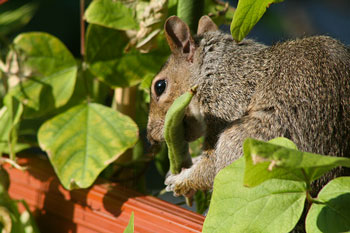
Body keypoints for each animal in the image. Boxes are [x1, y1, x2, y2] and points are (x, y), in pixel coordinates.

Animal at [147, 15, 350, 198]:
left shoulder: (227, 100)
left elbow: (211, 166)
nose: (151, 137)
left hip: (245, 140)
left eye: (160, 86)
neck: (212, 69)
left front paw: (180, 181)